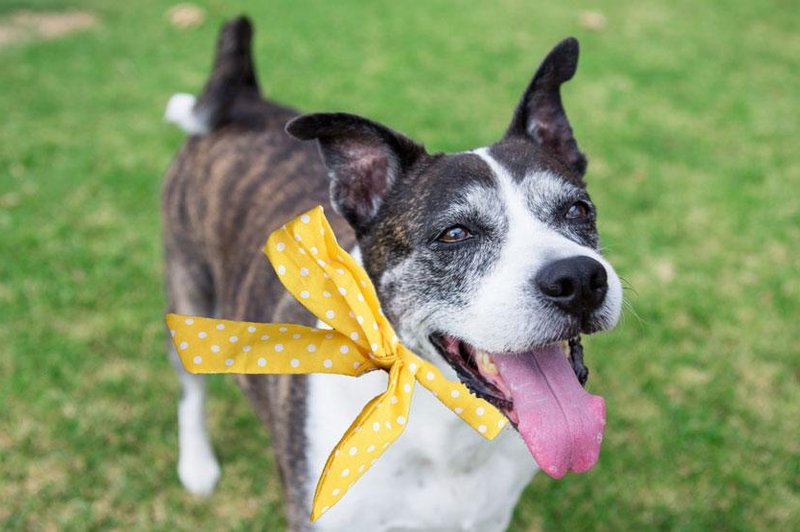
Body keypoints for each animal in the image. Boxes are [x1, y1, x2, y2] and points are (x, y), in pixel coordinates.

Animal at [164, 16, 624, 532]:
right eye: (455, 233)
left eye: (578, 209)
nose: (579, 280)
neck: (448, 427)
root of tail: (244, 99)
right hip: (187, 288)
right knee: (190, 387)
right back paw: (198, 465)